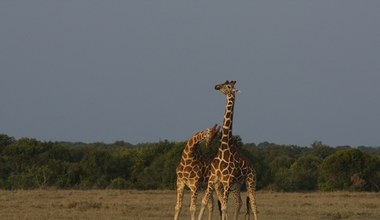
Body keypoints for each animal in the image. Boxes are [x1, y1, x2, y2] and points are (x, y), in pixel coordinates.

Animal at [199, 81, 258, 220]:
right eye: (224, 82)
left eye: (229, 86)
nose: (216, 86)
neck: (224, 148)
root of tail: (253, 167)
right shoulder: (213, 180)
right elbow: (204, 202)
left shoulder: (226, 182)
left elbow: (224, 207)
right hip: (236, 185)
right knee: (239, 202)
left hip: (250, 182)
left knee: (253, 204)